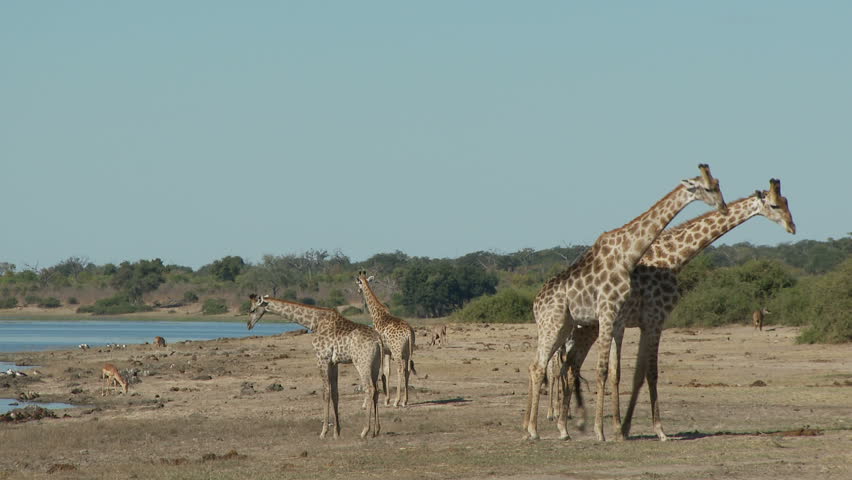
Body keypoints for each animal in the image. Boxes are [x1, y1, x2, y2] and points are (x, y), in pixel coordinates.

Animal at [247, 294, 383, 439]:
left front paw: (323, 432)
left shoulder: (321, 358)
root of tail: (378, 340)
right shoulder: (333, 362)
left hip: (361, 362)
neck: (315, 322)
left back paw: (364, 431)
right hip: (375, 364)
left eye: (252, 310)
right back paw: (376, 430)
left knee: (369, 388)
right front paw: (336, 432)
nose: (248, 325)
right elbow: (335, 393)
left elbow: (326, 393)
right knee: (376, 389)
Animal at [355, 270, 417, 407]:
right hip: (408, 352)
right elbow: (387, 371)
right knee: (407, 370)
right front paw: (386, 399)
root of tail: (409, 333)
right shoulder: (387, 351)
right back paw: (405, 401)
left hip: (397, 351)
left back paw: (397, 401)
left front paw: (386, 399)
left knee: (400, 369)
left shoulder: (382, 349)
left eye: (358, 283)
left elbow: (382, 373)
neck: (377, 314)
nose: (358, 291)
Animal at [524, 164, 728, 441]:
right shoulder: (609, 312)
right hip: (552, 323)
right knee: (539, 367)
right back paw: (534, 431)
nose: (723, 207)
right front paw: (601, 432)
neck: (628, 254)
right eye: (707, 188)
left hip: (565, 326)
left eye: (718, 185)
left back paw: (551, 430)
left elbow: (615, 371)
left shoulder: (618, 318)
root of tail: (536, 302)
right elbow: (603, 370)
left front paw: (615, 430)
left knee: (551, 366)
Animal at [559, 178, 795, 440]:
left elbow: (638, 374)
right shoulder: (655, 318)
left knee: (568, 365)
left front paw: (625, 428)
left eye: (787, 202)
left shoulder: (645, 323)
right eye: (774, 205)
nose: (792, 226)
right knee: (568, 365)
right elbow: (649, 373)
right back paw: (566, 426)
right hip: (587, 327)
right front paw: (655, 430)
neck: (674, 258)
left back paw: (566, 426)